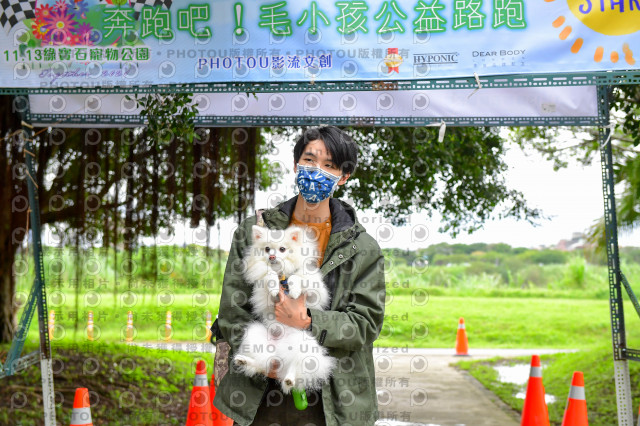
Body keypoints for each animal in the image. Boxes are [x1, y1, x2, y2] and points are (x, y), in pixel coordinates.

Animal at [232, 225, 338, 394]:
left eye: (282, 249)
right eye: (267, 249)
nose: (272, 256)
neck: (282, 275)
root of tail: (278, 352)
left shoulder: (315, 293)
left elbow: (297, 278)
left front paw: (294, 291)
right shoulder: (265, 296)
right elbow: (269, 276)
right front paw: (274, 287)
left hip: (302, 344)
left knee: (295, 366)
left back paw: (289, 379)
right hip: (256, 336)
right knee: (263, 364)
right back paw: (244, 361)